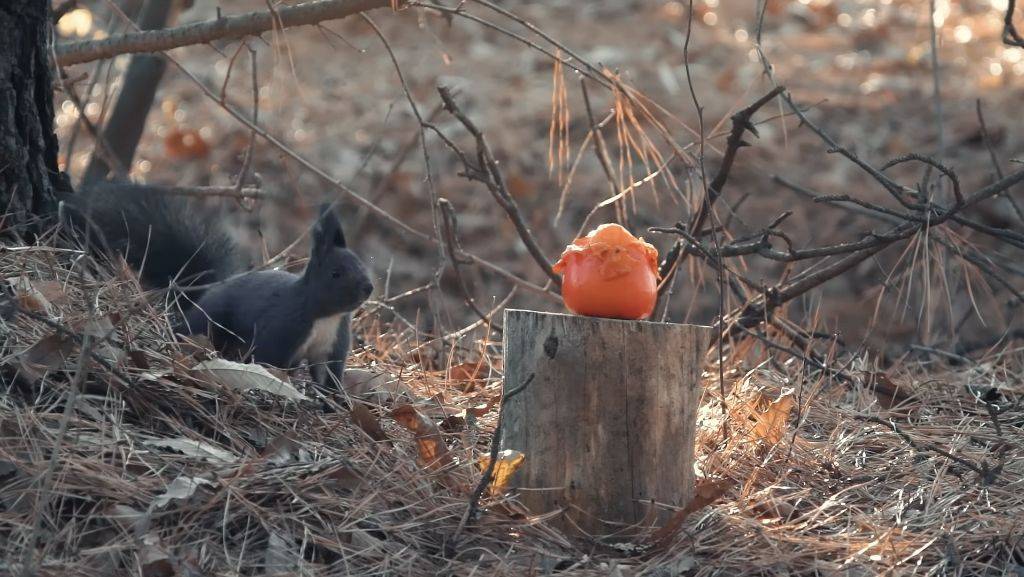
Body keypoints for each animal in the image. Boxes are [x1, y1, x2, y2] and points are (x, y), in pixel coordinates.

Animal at [60, 182, 372, 391]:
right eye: (336, 273)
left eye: (361, 264)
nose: (368, 288)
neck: (326, 317)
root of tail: (200, 296)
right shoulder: (282, 329)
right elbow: (270, 360)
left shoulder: (331, 346)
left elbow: (329, 376)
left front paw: (336, 400)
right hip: (210, 322)